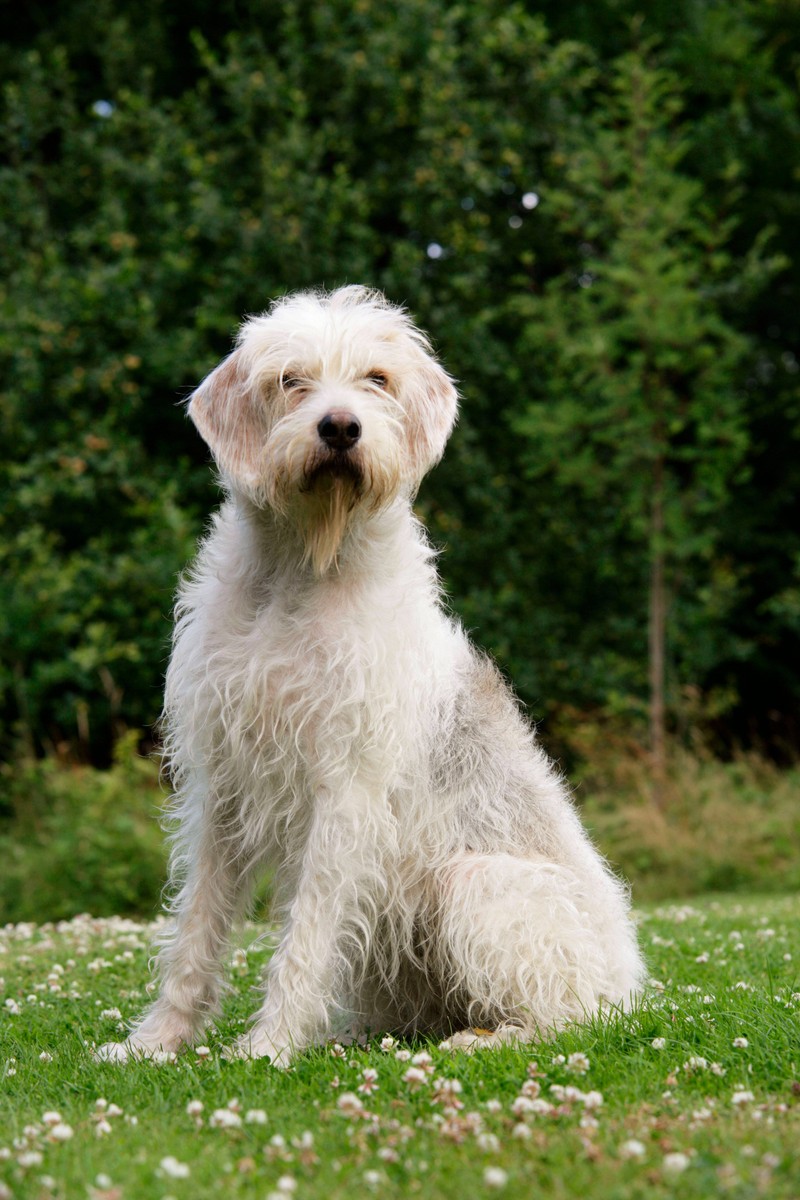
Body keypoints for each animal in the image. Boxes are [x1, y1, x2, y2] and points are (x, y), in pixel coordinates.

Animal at [100, 285, 647, 1065]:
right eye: (290, 379)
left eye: (377, 379)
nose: (340, 428)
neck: (301, 572)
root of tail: (631, 981)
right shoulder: (222, 787)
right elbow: (196, 929)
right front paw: (156, 1043)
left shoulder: (345, 794)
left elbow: (306, 932)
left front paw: (268, 1046)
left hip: (477, 884)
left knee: (569, 1018)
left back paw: (480, 1038)